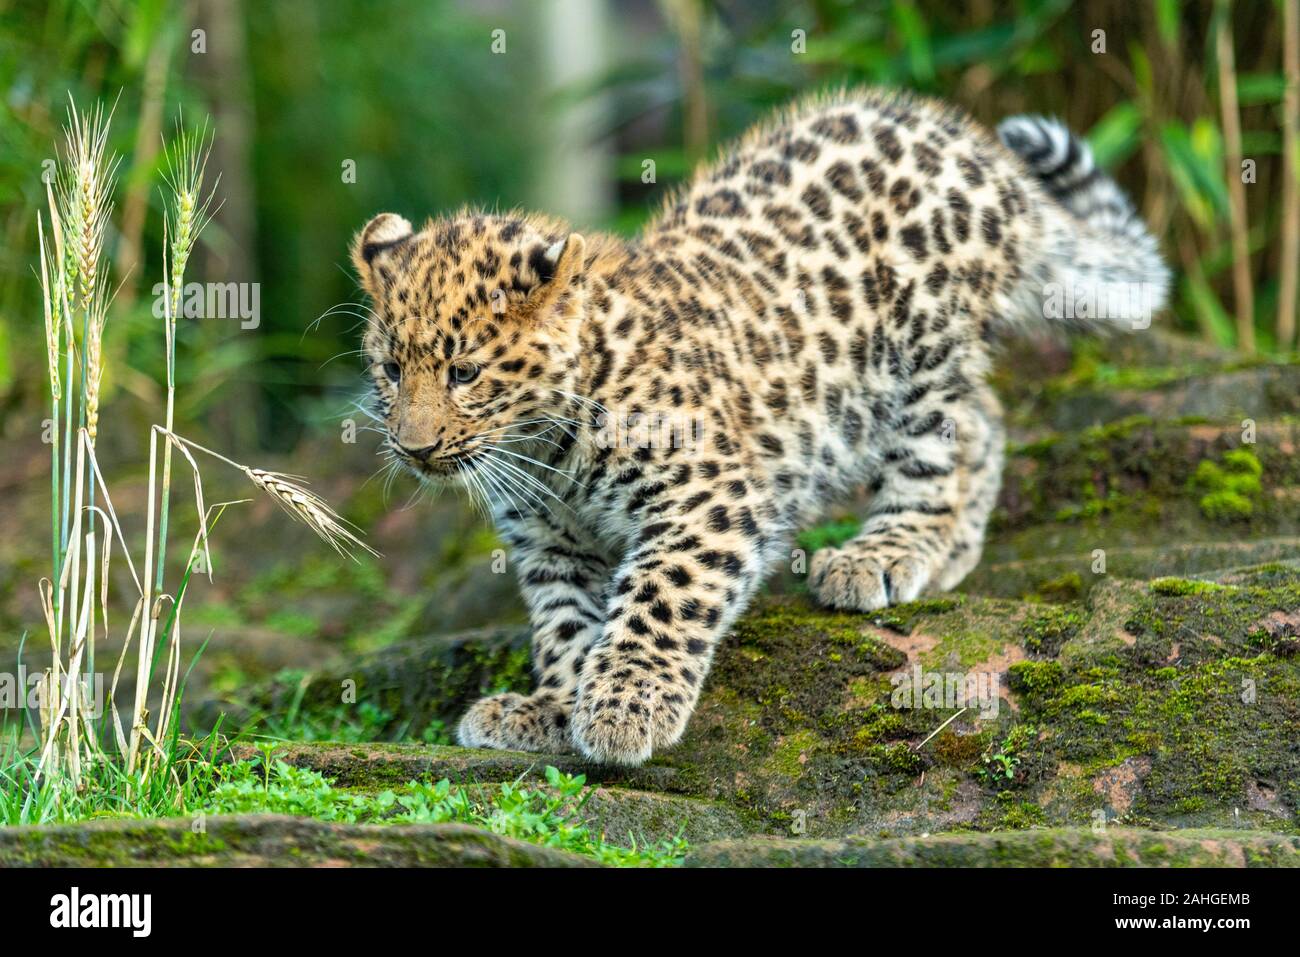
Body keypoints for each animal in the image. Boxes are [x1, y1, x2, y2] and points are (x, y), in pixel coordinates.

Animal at [351, 88, 1168, 766]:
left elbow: (661, 593)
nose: (413, 448)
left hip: (920, 347)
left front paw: (623, 706)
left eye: (464, 373)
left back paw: (885, 553)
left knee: (946, 443)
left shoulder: (705, 492)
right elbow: (564, 623)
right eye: (390, 369)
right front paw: (552, 705)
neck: (542, 446)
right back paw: (950, 552)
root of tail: (970, 146)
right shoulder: (550, 542)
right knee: (988, 421)